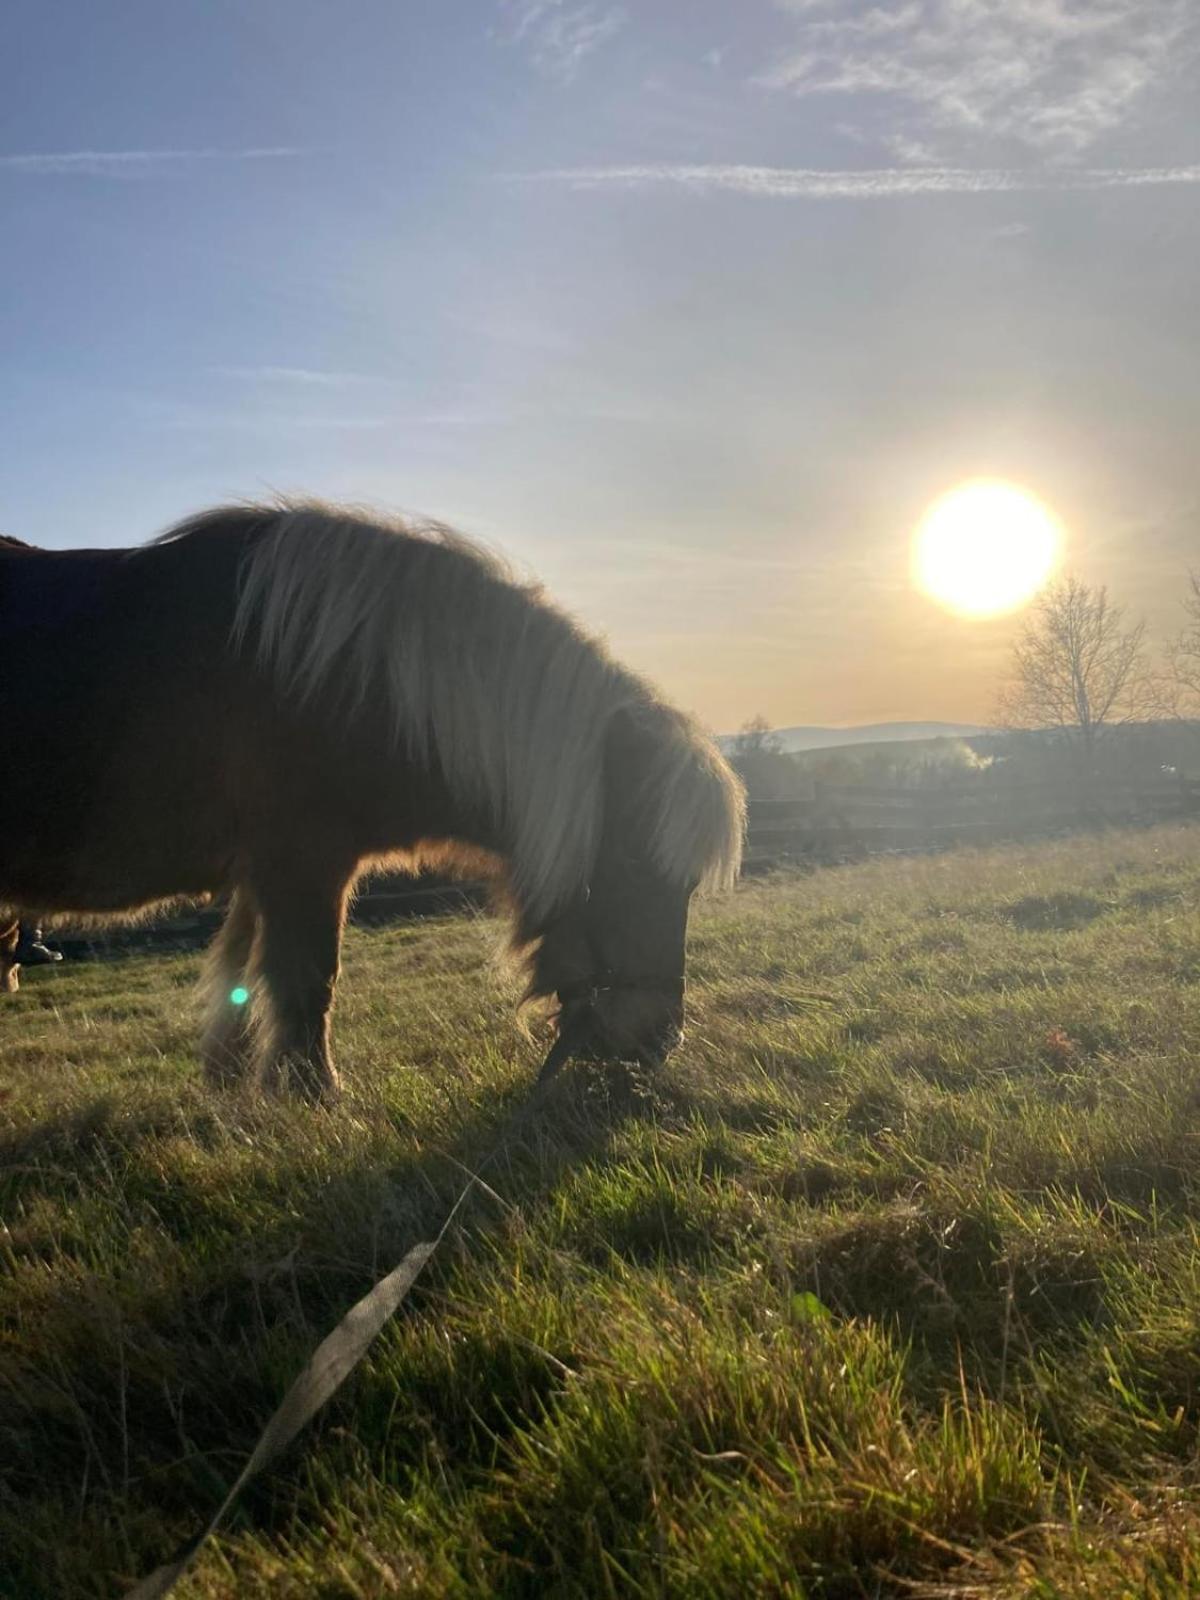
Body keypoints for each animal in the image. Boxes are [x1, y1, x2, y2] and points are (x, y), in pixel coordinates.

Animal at [0, 502, 742, 1100]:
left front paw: (234, 1083)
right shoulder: (303, 864)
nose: (658, 1041)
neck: (340, 676)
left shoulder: (263, 874)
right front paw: (314, 1095)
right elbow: (310, 980)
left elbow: (241, 975)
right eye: (631, 864)